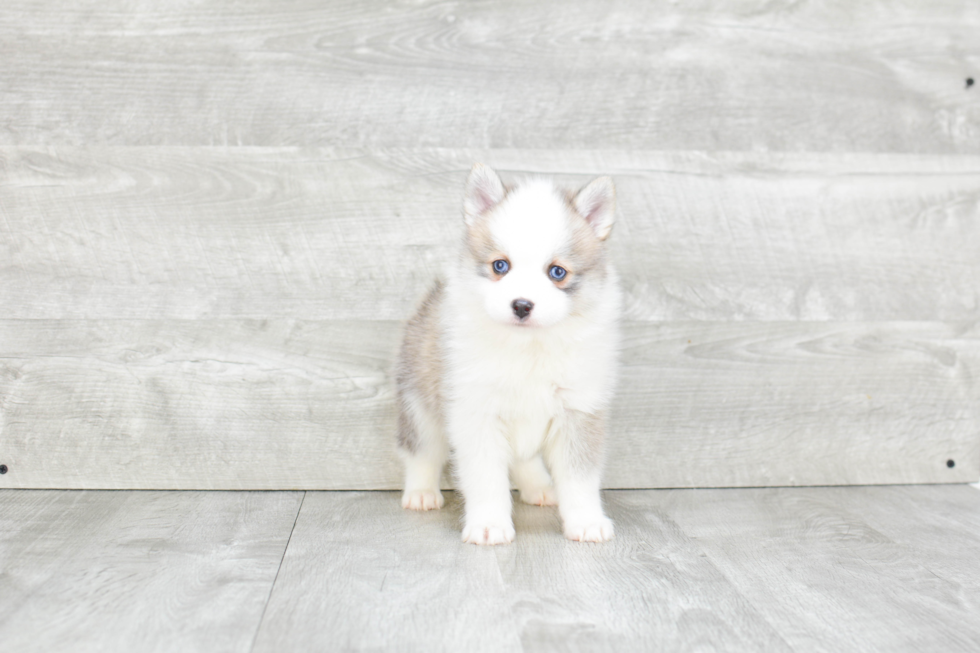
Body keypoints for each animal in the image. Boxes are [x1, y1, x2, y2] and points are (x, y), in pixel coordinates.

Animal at [392, 164, 616, 544]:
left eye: (557, 272)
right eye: (500, 266)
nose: (522, 305)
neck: (528, 348)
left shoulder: (578, 410)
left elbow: (580, 479)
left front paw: (585, 521)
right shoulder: (476, 413)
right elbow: (486, 479)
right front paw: (489, 524)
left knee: (524, 460)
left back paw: (540, 488)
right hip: (419, 406)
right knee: (421, 452)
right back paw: (421, 493)